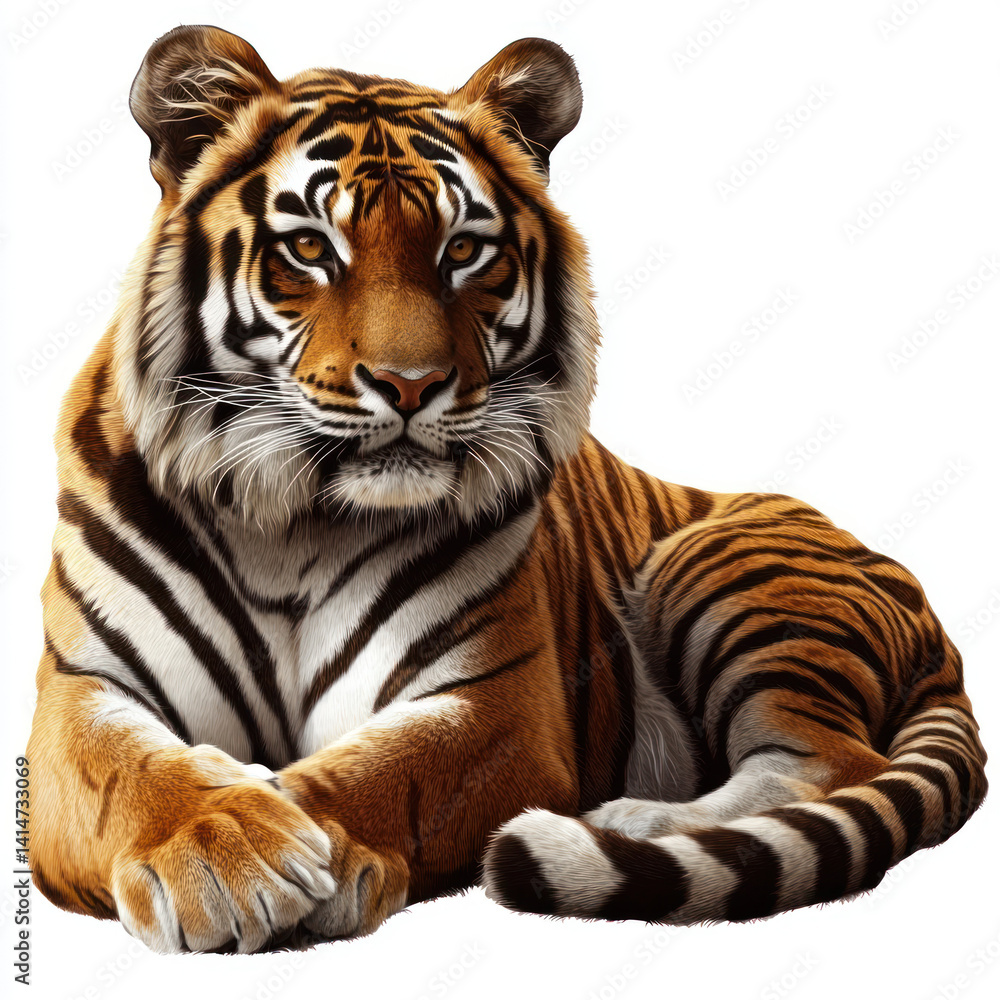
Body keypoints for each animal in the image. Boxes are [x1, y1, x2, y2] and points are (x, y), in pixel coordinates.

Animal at [27, 24, 987, 954]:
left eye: (463, 250)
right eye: (309, 248)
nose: (411, 385)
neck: (291, 523)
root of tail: (943, 638)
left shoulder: (494, 704)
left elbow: (376, 773)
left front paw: (280, 848)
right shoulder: (83, 688)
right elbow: (134, 774)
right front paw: (223, 852)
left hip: (724, 569)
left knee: (829, 762)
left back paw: (629, 823)